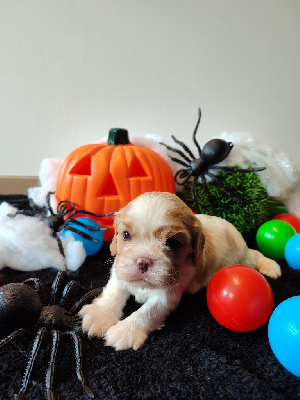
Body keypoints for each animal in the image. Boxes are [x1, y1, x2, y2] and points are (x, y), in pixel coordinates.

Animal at [80, 192, 282, 352]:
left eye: (172, 243)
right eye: (126, 235)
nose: (143, 262)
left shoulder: (167, 296)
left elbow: (147, 312)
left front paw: (125, 331)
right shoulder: (120, 270)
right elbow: (112, 292)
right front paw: (100, 316)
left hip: (242, 257)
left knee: (255, 255)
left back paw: (271, 267)